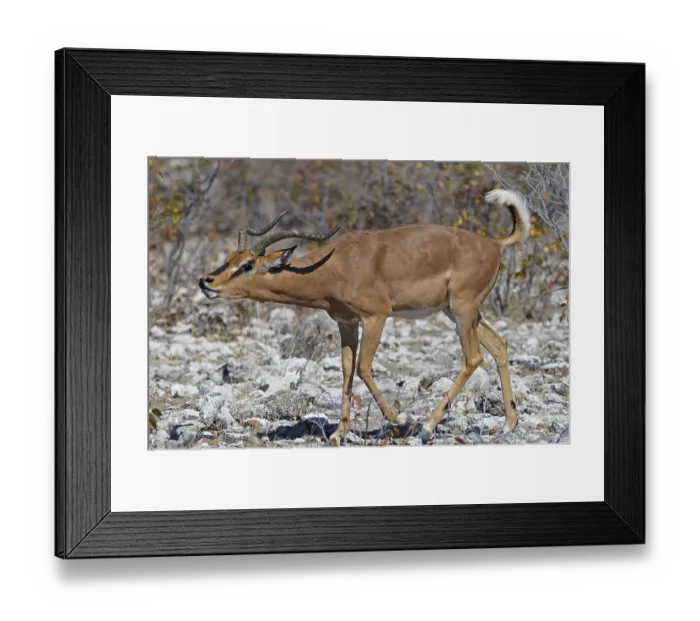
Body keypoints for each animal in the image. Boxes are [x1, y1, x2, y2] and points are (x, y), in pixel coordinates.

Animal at [199, 189, 530, 445]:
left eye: (247, 265)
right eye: (229, 259)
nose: (206, 281)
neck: (337, 265)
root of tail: (495, 244)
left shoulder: (376, 317)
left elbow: (363, 368)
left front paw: (400, 419)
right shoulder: (346, 322)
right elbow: (347, 370)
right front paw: (339, 433)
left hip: (462, 309)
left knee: (473, 357)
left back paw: (426, 426)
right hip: (459, 312)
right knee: (499, 345)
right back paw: (508, 424)